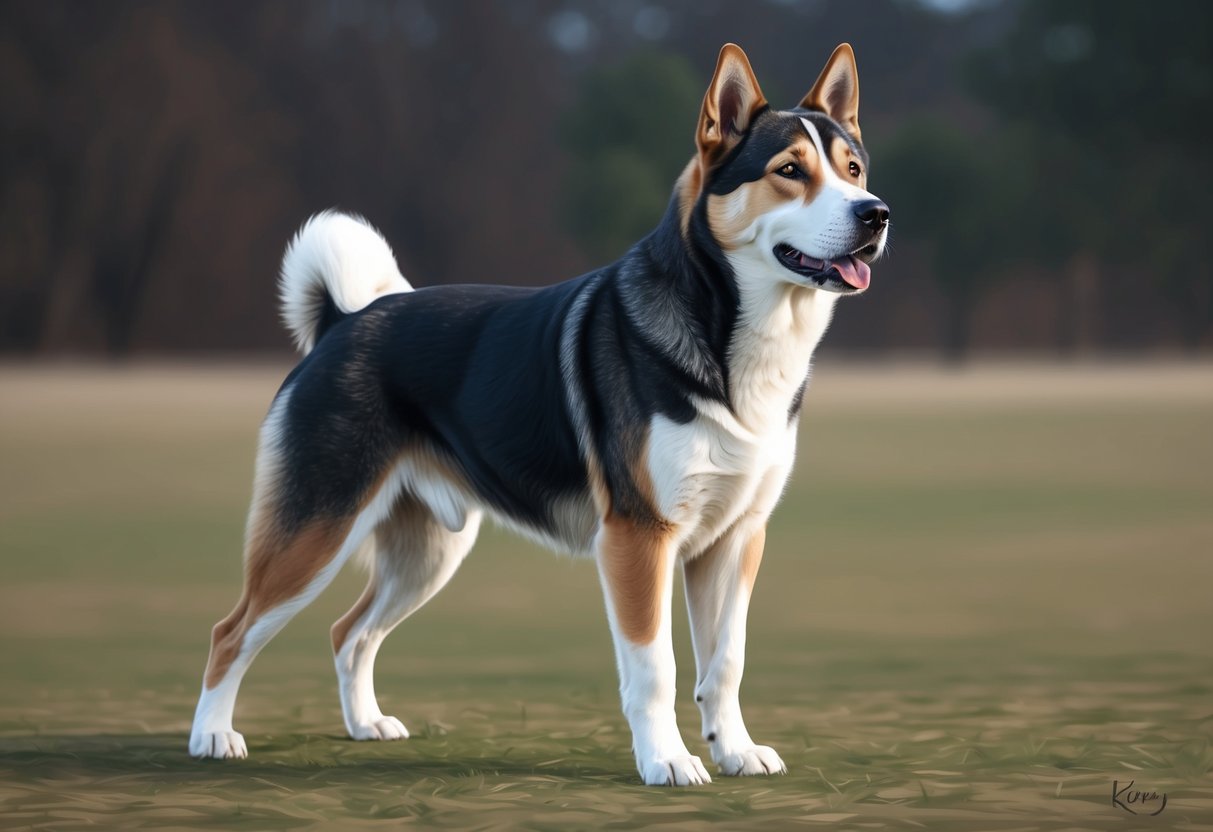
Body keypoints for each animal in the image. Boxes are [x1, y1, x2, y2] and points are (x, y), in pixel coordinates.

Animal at [191, 43, 892, 790]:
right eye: (790, 171)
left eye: (852, 170)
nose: (875, 213)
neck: (732, 339)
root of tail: (342, 321)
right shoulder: (639, 537)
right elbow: (655, 667)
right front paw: (667, 761)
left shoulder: (735, 538)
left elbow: (724, 662)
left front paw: (734, 750)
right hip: (316, 528)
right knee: (232, 631)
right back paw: (212, 736)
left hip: (427, 551)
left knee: (348, 633)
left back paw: (364, 725)